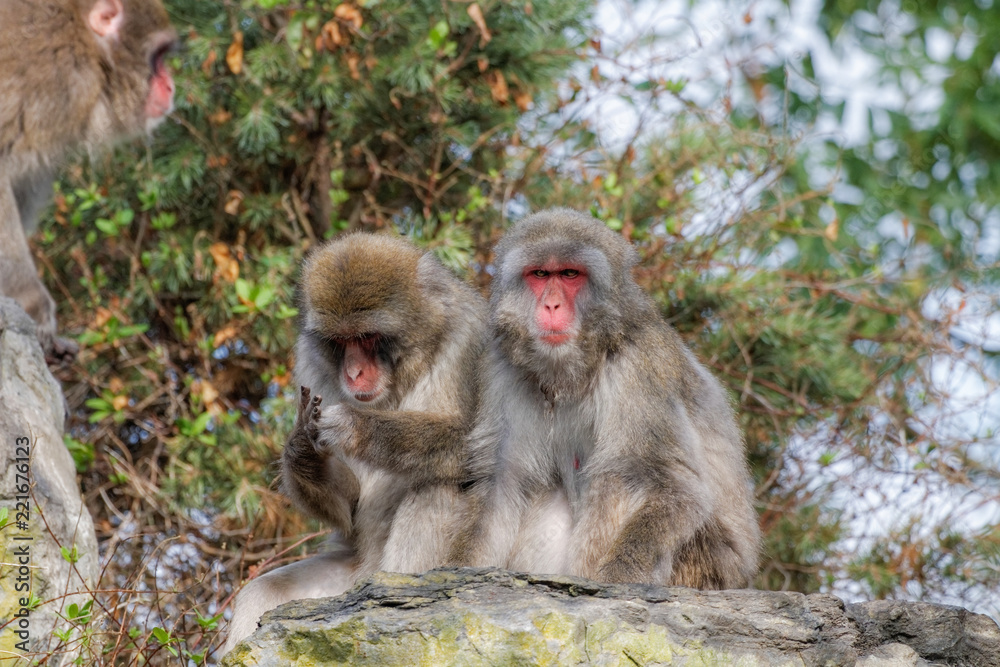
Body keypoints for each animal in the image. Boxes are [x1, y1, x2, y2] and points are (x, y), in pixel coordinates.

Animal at [224, 233, 488, 652]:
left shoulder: (471, 341)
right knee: (260, 594)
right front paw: (302, 451)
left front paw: (354, 427)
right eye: (339, 342)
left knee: (440, 485)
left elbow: (485, 445)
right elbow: (347, 507)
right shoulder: (311, 364)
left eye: (367, 337)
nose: (353, 373)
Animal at [450, 208, 761, 590]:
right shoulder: (499, 368)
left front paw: (618, 580)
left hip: (707, 568)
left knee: (621, 475)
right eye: (540, 274)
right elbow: (502, 482)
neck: (579, 364)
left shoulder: (640, 366)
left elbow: (672, 486)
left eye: (570, 274)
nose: (551, 304)